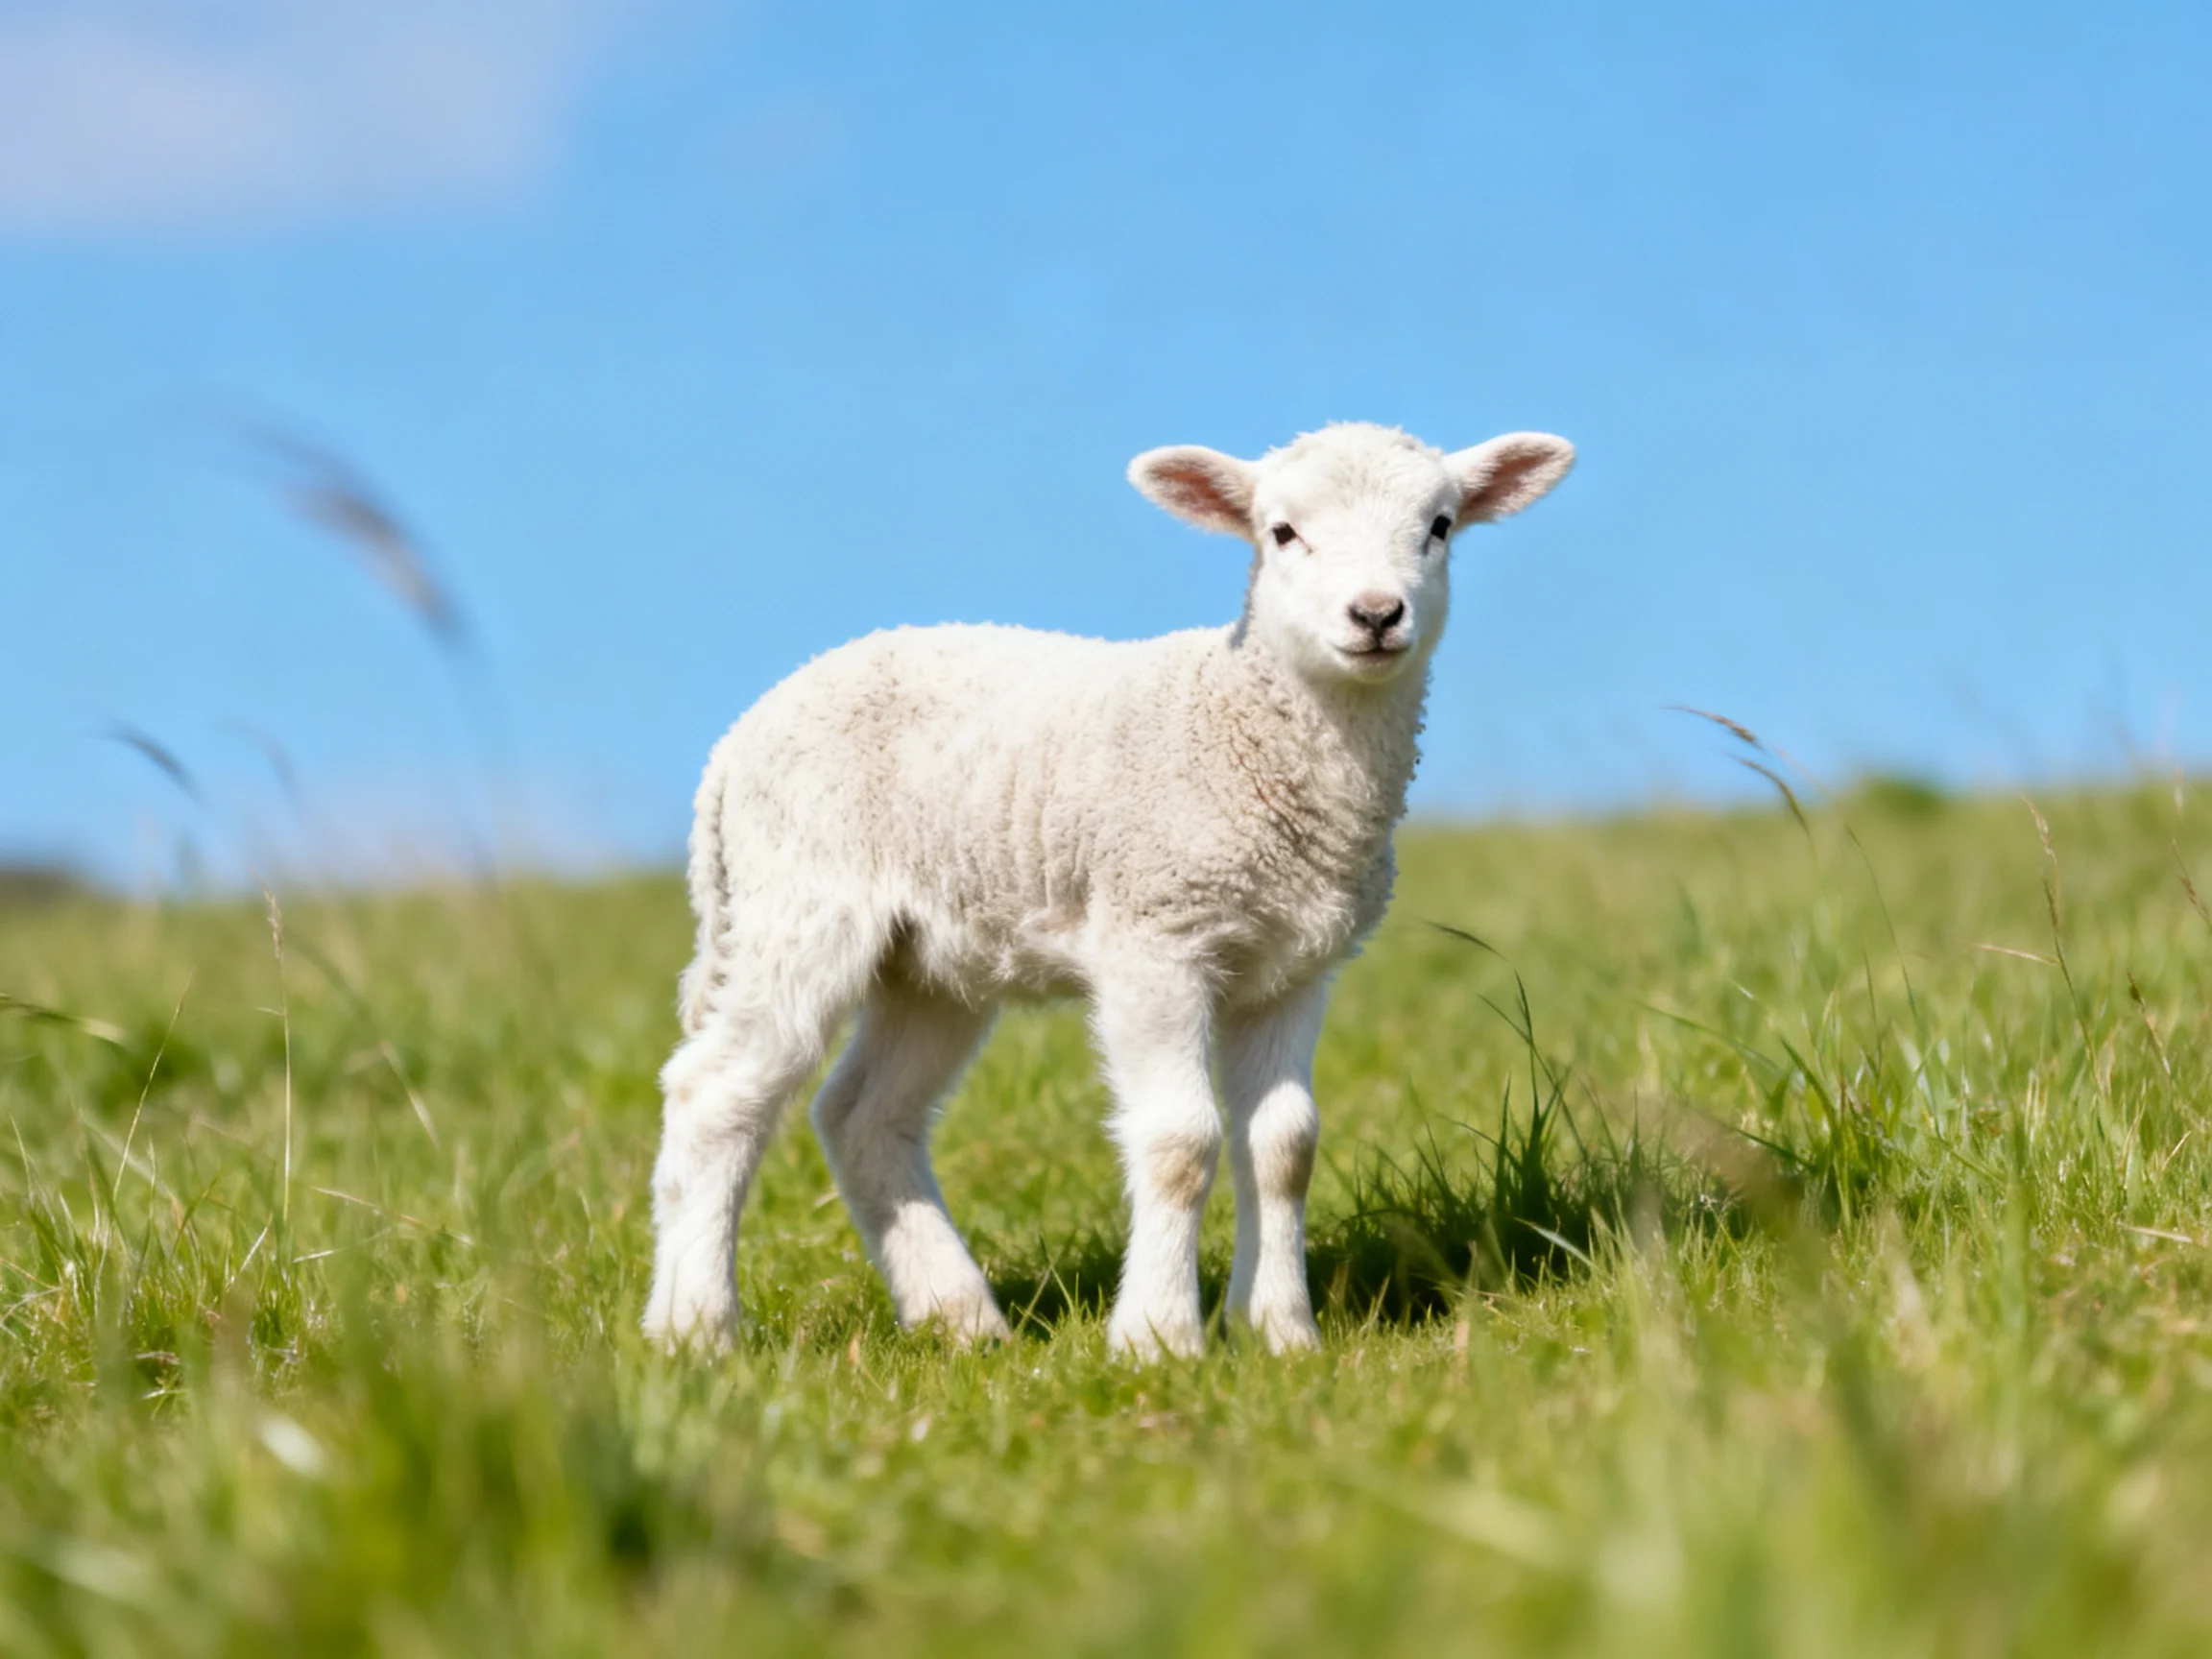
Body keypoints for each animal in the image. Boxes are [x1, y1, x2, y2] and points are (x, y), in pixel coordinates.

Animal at [644, 421, 1576, 1360]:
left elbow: (1284, 1146)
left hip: (933, 957)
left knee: (862, 1115)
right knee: (714, 1096)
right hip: (799, 900)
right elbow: (1180, 1143)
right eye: (1281, 533)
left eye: (1440, 527)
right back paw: (694, 1329)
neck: (1251, 733)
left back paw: (962, 1319)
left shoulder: (1292, 967)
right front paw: (1158, 1338)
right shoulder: (1153, 937)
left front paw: (1280, 1333)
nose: (1377, 615)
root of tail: (737, 741)